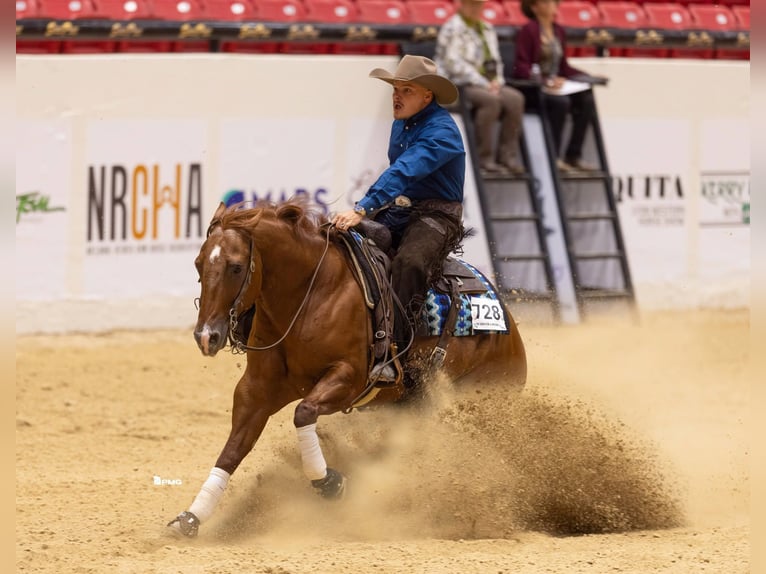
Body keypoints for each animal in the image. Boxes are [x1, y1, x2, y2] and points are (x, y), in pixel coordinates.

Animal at [167, 199, 526, 537]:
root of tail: (510, 328)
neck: (311, 293)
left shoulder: (349, 379)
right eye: (199, 263)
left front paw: (329, 482)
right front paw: (193, 516)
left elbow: (303, 413)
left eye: (236, 267)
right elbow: (233, 450)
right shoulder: (256, 388)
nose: (206, 336)